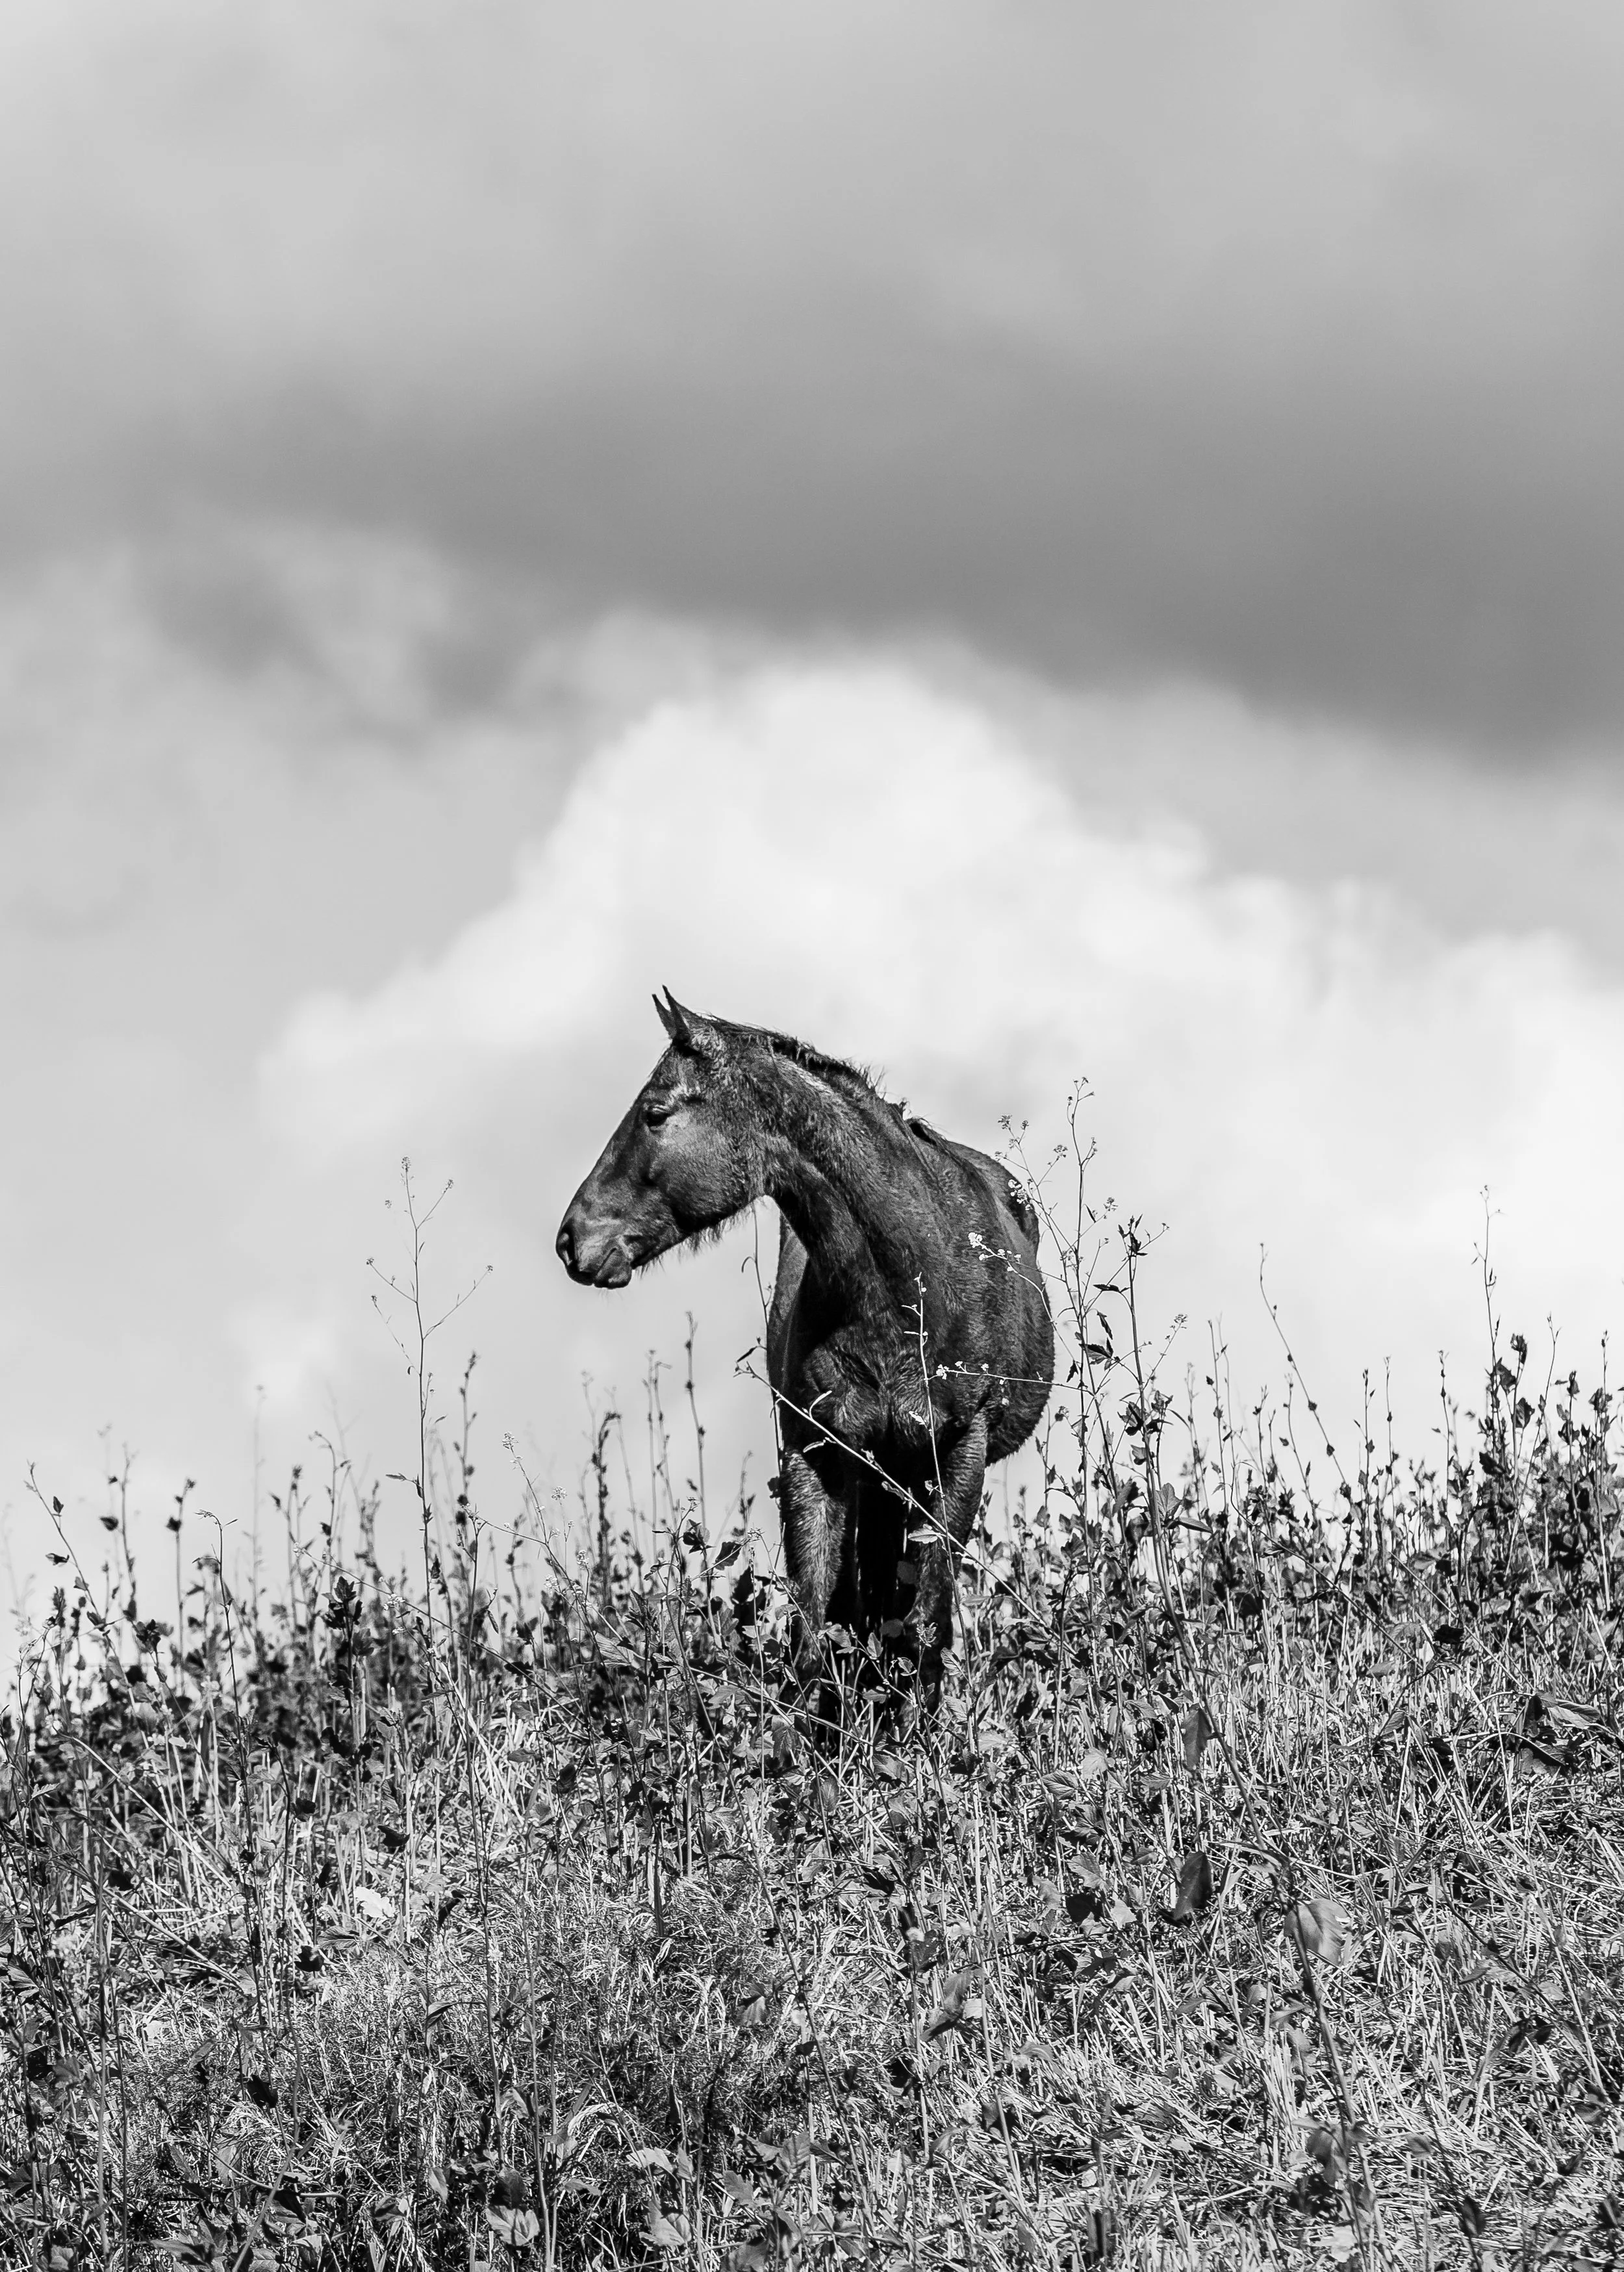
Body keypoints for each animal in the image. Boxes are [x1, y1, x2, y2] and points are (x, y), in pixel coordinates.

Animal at [556, 992, 1055, 1693]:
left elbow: (925, 1632)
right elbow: (816, 1634)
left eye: (654, 1113)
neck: (906, 1284)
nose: (573, 1238)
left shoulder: (957, 1454)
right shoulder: (818, 1453)